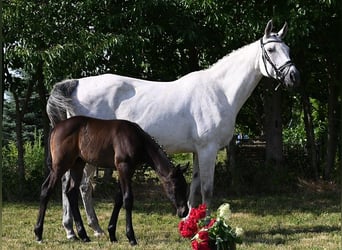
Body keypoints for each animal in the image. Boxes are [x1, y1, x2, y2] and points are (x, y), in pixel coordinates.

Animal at [46, 20, 300, 239]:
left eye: (288, 48)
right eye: (271, 50)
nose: (294, 76)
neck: (219, 91)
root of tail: (76, 84)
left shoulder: (198, 151)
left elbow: (195, 188)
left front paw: (190, 221)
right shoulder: (208, 150)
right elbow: (207, 189)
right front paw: (207, 227)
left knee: (69, 184)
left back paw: (74, 229)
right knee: (81, 187)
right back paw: (87, 229)